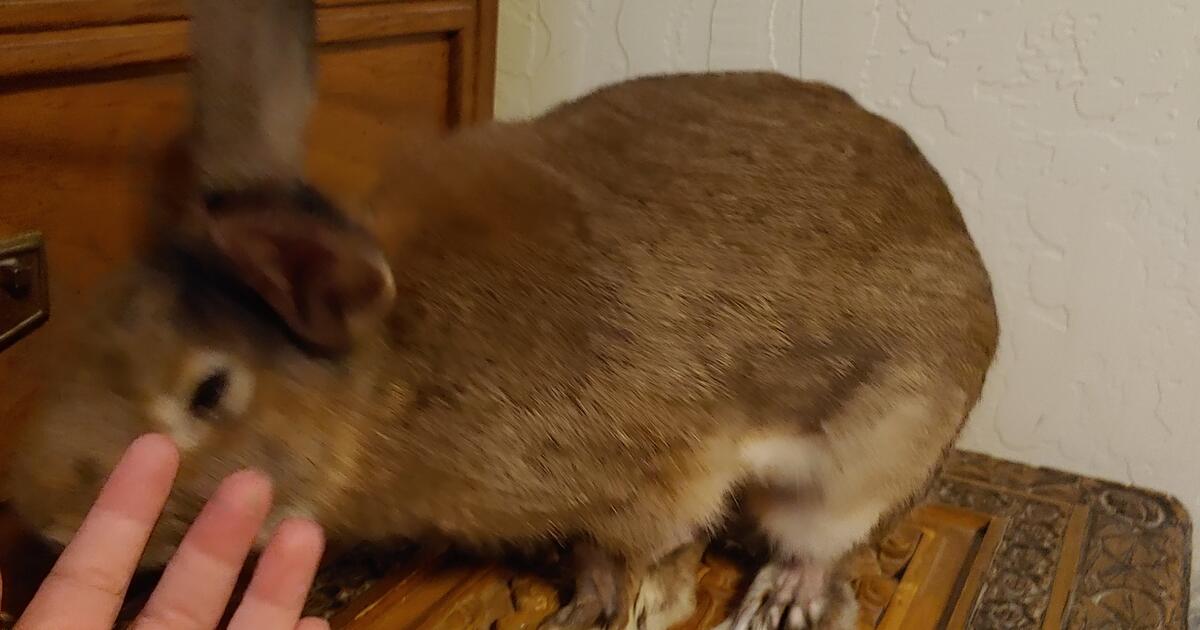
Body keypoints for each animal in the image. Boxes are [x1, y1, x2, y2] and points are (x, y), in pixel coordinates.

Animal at [3, 0, 999, 628]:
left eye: (207, 393)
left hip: (867, 452)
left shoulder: (656, 477)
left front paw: (609, 605)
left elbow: (641, 549)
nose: (42, 520)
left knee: (823, 539)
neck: (384, 379)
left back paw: (779, 599)